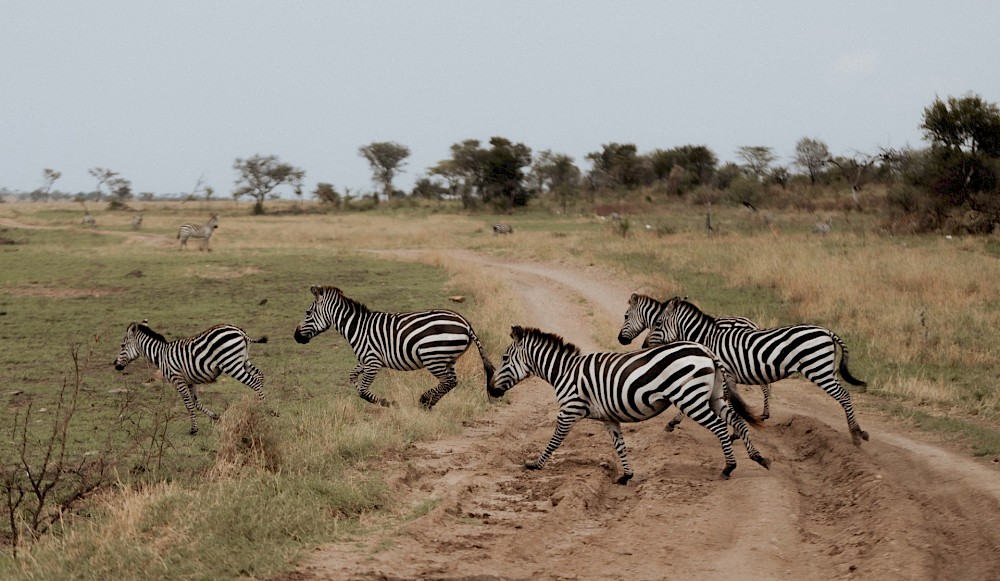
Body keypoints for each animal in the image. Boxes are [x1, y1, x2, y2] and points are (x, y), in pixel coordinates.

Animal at [114, 320, 270, 432]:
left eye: (122, 346)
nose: (116, 365)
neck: (161, 355)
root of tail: (239, 331)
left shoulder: (178, 380)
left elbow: (189, 404)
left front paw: (194, 429)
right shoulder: (190, 381)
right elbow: (197, 403)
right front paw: (216, 417)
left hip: (231, 364)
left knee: (255, 382)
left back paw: (263, 409)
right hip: (243, 360)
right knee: (260, 376)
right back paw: (261, 405)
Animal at [292, 286, 496, 408]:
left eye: (308, 313)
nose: (295, 336)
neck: (357, 327)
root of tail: (466, 324)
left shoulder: (372, 362)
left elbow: (363, 391)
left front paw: (388, 403)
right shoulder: (366, 360)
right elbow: (352, 377)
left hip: (433, 357)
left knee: (448, 381)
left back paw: (424, 400)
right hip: (448, 359)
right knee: (451, 382)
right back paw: (429, 403)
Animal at [488, 324, 768, 482]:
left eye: (504, 358)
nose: (490, 389)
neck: (564, 372)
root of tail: (705, 350)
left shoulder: (569, 410)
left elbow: (554, 441)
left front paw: (535, 464)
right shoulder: (609, 417)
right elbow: (619, 446)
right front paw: (626, 476)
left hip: (691, 399)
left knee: (720, 427)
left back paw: (729, 468)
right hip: (714, 395)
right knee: (737, 421)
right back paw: (758, 457)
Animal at [616, 292, 772, 432]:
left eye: (626, 316)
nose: (620, 340)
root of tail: (753, 324)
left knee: (764, 385)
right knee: (765, 384)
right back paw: (764, 413)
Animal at [648, 296, 868, 446]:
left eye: (657, 323)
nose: (645, 344)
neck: (709, 339)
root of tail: (826, 331)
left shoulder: (724, 375)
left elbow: (727, 405)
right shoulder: (726, 377)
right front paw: (736, 432)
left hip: (818, 369)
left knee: (844, 396)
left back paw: (856, 434)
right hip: (826, 369)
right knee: (844, 395)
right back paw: (859, 432)